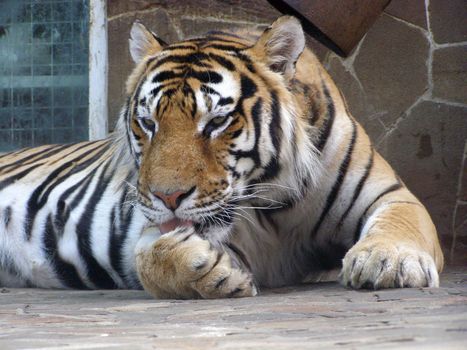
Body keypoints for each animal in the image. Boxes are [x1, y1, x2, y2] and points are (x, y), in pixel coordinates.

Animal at [0, 15, 444, 296]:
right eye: (148, 123)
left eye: (215, 122)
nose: (168, 197)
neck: (278, 200)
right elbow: (151, 255)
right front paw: (214, 271)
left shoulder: (389, 195)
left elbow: (401, 223)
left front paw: (387, 262)